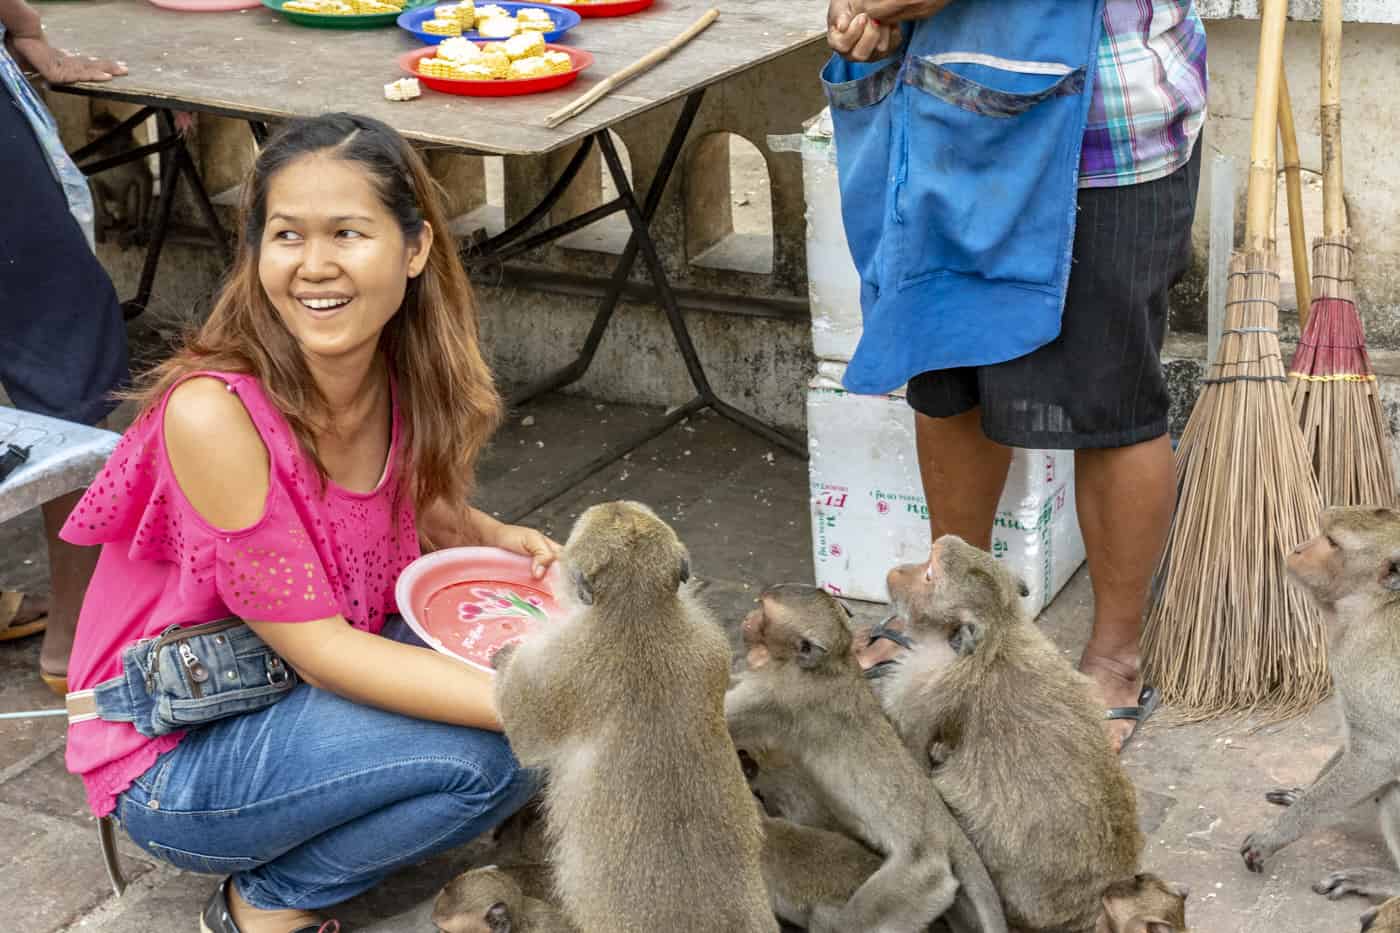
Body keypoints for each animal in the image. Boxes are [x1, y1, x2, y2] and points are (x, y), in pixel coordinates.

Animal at [85, 109, 151, 245]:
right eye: (92, 135)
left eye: (102, 136)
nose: (92, 143)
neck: (110, 155)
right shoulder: (91, 157)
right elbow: (92, 181)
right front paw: (103, 216)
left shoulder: (134, 155)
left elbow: (143, 179)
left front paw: (141, 225)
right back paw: (99, 230)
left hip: (122, 209)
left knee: (133, 187)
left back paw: (128, 228)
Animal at [722, 582, 1008, 930]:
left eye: (763, 613)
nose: (748, 619)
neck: (832, 664)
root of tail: (950, 832)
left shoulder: (777, 695)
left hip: (921, 880)